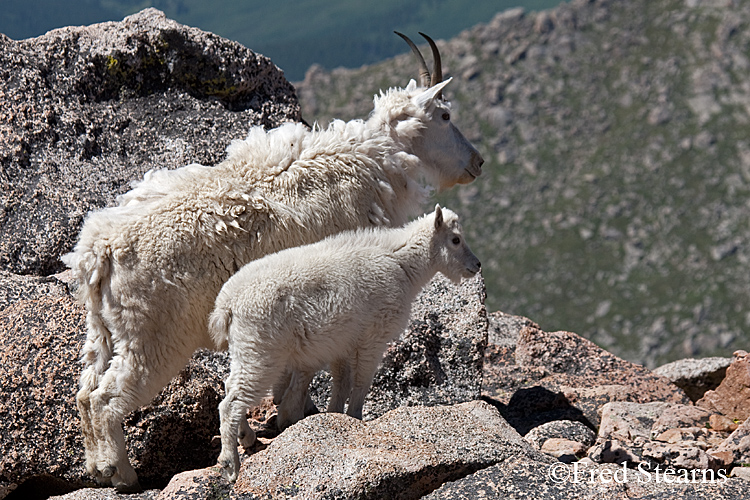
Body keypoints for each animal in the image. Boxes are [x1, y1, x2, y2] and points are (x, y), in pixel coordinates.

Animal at [66, 33, 488, 490]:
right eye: (445, 115)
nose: (477, 162)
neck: (376, 162)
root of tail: (97, 252)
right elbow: (314, 368)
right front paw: (293, 416)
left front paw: (276, 422)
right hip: (153, 334)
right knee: (108, 397)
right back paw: (124, 473)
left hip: (106, 329)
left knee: (86, 390)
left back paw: (98, 466)